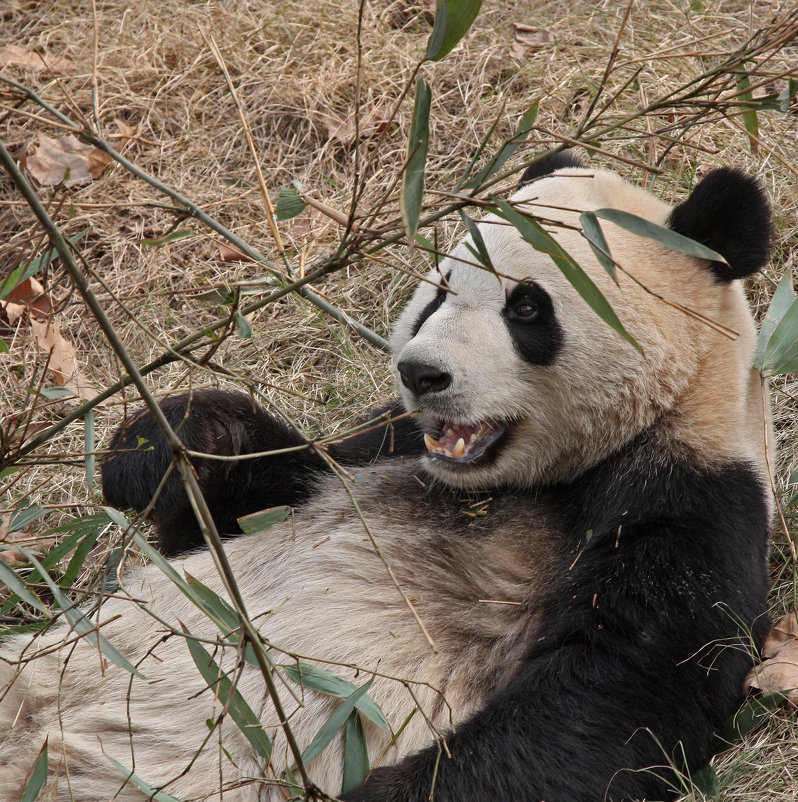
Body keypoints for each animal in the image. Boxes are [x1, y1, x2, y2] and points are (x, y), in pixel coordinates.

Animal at [0, 152, 776, 800]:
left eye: (527, 307)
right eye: (438, 292)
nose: (420, 372)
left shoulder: (689, 503)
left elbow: (603, 703)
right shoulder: (389, 445)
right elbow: (251, 498)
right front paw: (157, 446)